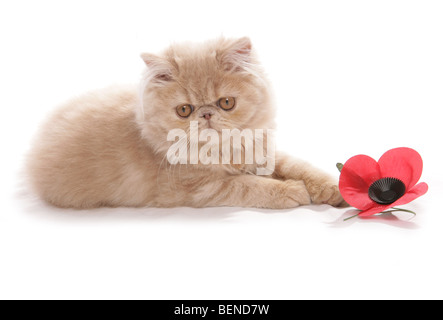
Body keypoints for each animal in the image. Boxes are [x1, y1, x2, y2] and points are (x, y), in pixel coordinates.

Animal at [26, 37, 346, 209]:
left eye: (225, 103)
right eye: (184, 110)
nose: (205, 114)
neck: (223, 151)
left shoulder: (262, 149)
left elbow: (300, 166)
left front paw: (333, 187)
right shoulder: (201, 188)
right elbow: (249, 185)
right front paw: (292, 191)